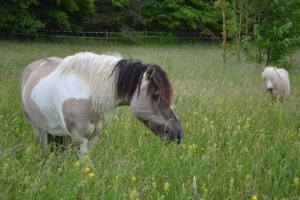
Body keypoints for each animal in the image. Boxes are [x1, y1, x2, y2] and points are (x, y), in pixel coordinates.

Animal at [19, 52, 184, 163]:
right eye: (156, 95)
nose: (179, 134)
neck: (88, 94)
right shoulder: (79, 139)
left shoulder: (94, 137)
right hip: (38, 128)